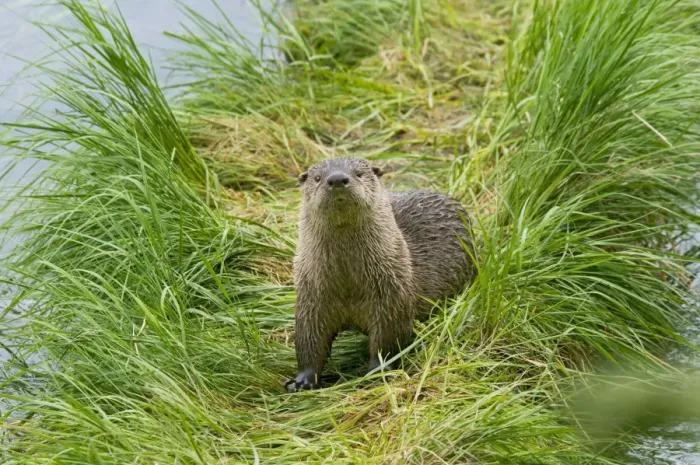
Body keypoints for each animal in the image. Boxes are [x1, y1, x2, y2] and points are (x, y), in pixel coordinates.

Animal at [285, 158, 475, 391]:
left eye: (358, 173)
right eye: (318, 178)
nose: (337, 179)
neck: (348, 285)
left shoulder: (392, 297)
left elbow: (387, 341)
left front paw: (377, 373)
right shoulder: (311, 298)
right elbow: (308, 342)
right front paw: (302, 381)